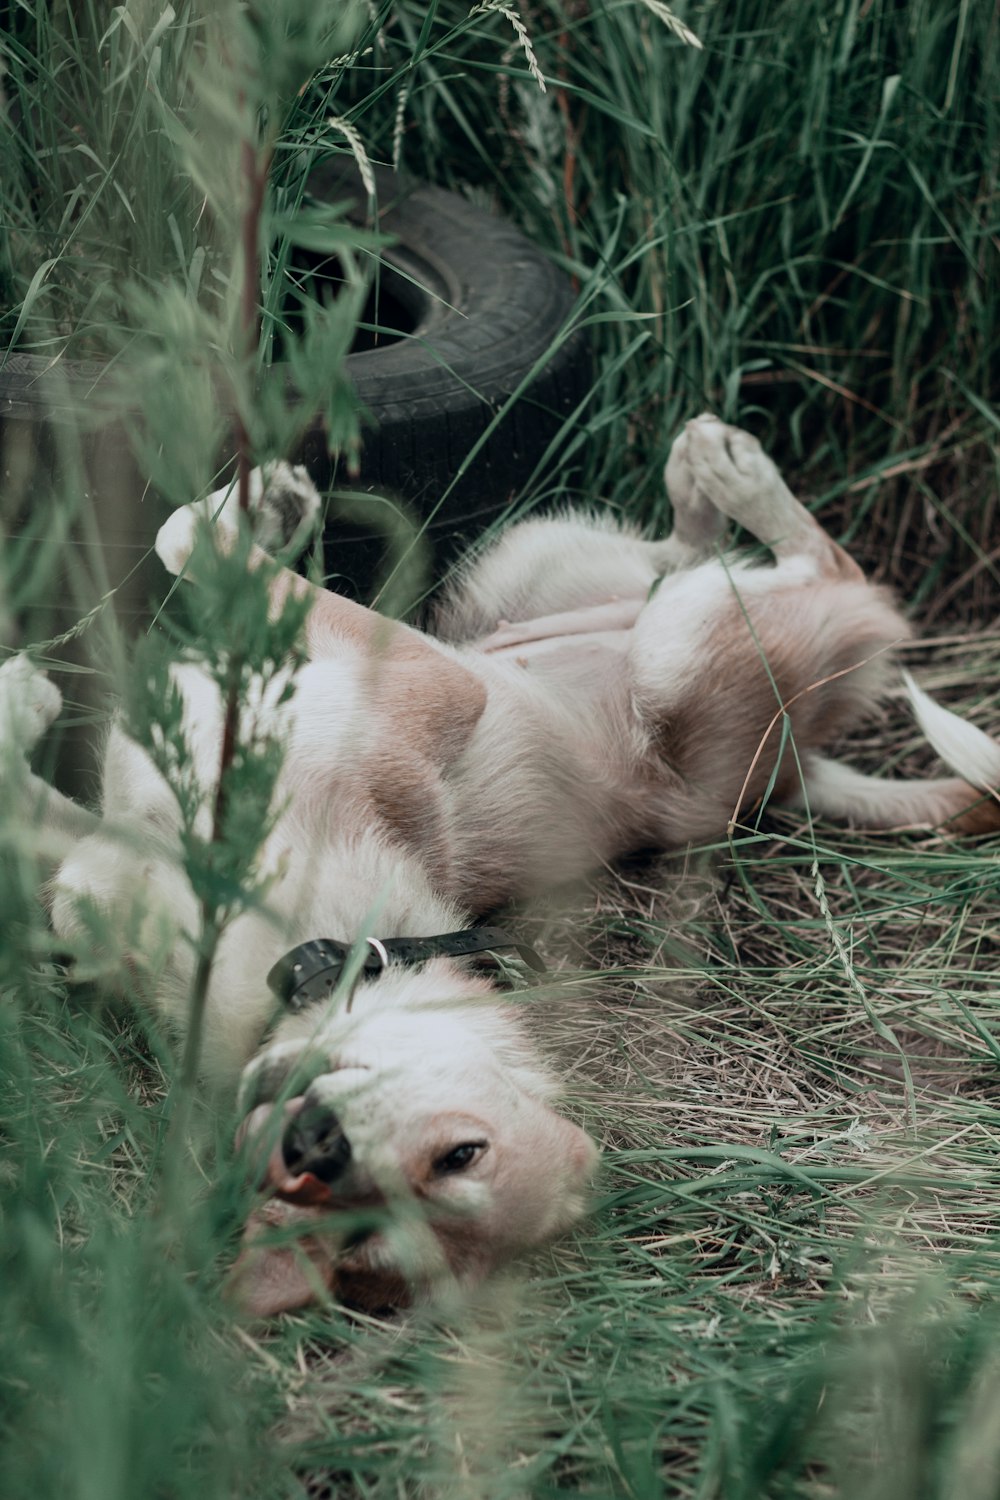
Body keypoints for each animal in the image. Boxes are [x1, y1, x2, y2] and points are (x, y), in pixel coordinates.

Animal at [3, 414, 995, 1314]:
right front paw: (31, 692)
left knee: (843, 574)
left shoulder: (428, 684)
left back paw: (736, 475)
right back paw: (705, 479)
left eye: (455, 1160)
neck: (331, 942)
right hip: (528, 562)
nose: (314, 1148)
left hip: (680, 649)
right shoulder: (112, 844)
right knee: (684, 555)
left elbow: (197, 545)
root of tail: (790, 773)